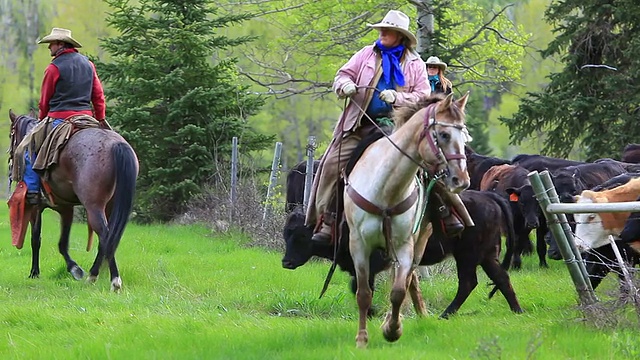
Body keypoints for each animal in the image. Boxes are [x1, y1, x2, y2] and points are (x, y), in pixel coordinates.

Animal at [7, 108, 139, 292]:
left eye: (11, 134)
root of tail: (115, 145)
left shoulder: (36, 208)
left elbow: (36, 239)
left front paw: (37, 272)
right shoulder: (66, 208)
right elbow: (62, 242)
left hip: (93, 207)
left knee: (105, 234)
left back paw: (112, 280)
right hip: (110, 207)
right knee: (107, 238)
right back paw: (95, 274)